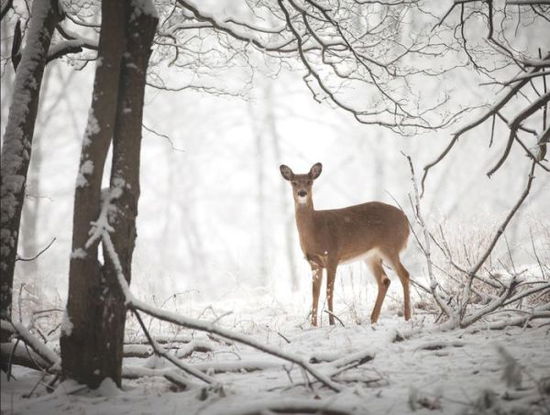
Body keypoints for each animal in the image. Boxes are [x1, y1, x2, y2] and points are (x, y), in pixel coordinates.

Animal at [282, 162, 412, 328]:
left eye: (310, 182)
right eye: (294, 182)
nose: (302, 193)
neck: (315, 228)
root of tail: (406, 220)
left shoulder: (332, 255)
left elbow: (329, 291)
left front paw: (332, 322)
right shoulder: (314, 263)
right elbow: (315, 294)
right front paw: (313, 325)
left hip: (390, 247)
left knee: (404, 274)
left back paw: (407, 317)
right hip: (371, 256)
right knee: (385, 280)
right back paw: (373, 319)